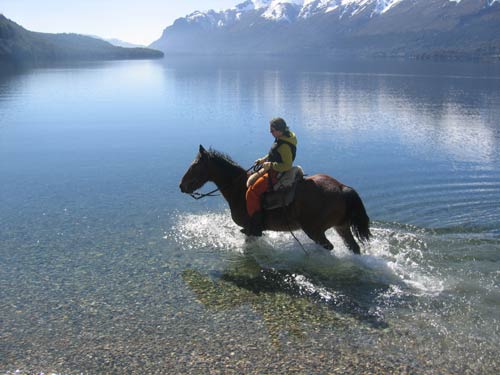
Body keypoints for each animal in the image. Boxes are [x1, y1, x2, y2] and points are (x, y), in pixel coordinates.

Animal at [180, 145, 372, 254]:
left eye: (195, 166)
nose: (182, 186)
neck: (239, 188)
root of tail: (341, 187)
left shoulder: (250, 229)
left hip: (315, 231)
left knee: (329, 247)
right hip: (341, 227)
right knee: (354, 248)